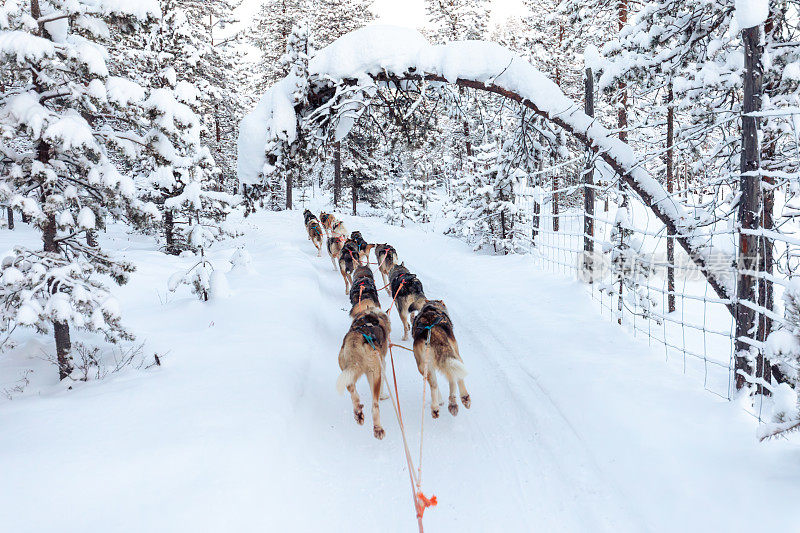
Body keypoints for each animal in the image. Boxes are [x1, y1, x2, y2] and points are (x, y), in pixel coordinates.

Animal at [334, 310, 390, 438]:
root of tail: (357, 337)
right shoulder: (382, 365)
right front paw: (383, 395)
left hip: (347, 372)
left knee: (353, 393)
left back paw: (358, 413)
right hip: (375, 375)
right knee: (375, 406)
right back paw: (378, 429)